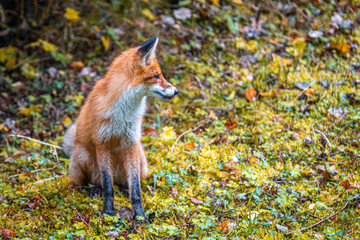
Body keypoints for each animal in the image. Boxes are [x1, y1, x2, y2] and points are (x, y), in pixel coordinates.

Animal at [63, 38, 180, 221]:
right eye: (156, 76)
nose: (176, 91)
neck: (123, 112)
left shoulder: (131, 141)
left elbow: (136, 189)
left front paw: (140, 216)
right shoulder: (102, 142)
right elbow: (108, 186)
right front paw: (108, 212)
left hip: (142, 160)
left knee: (124, 182)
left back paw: (124, 188)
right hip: (82, 156)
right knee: (91, 184)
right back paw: (93, 189)